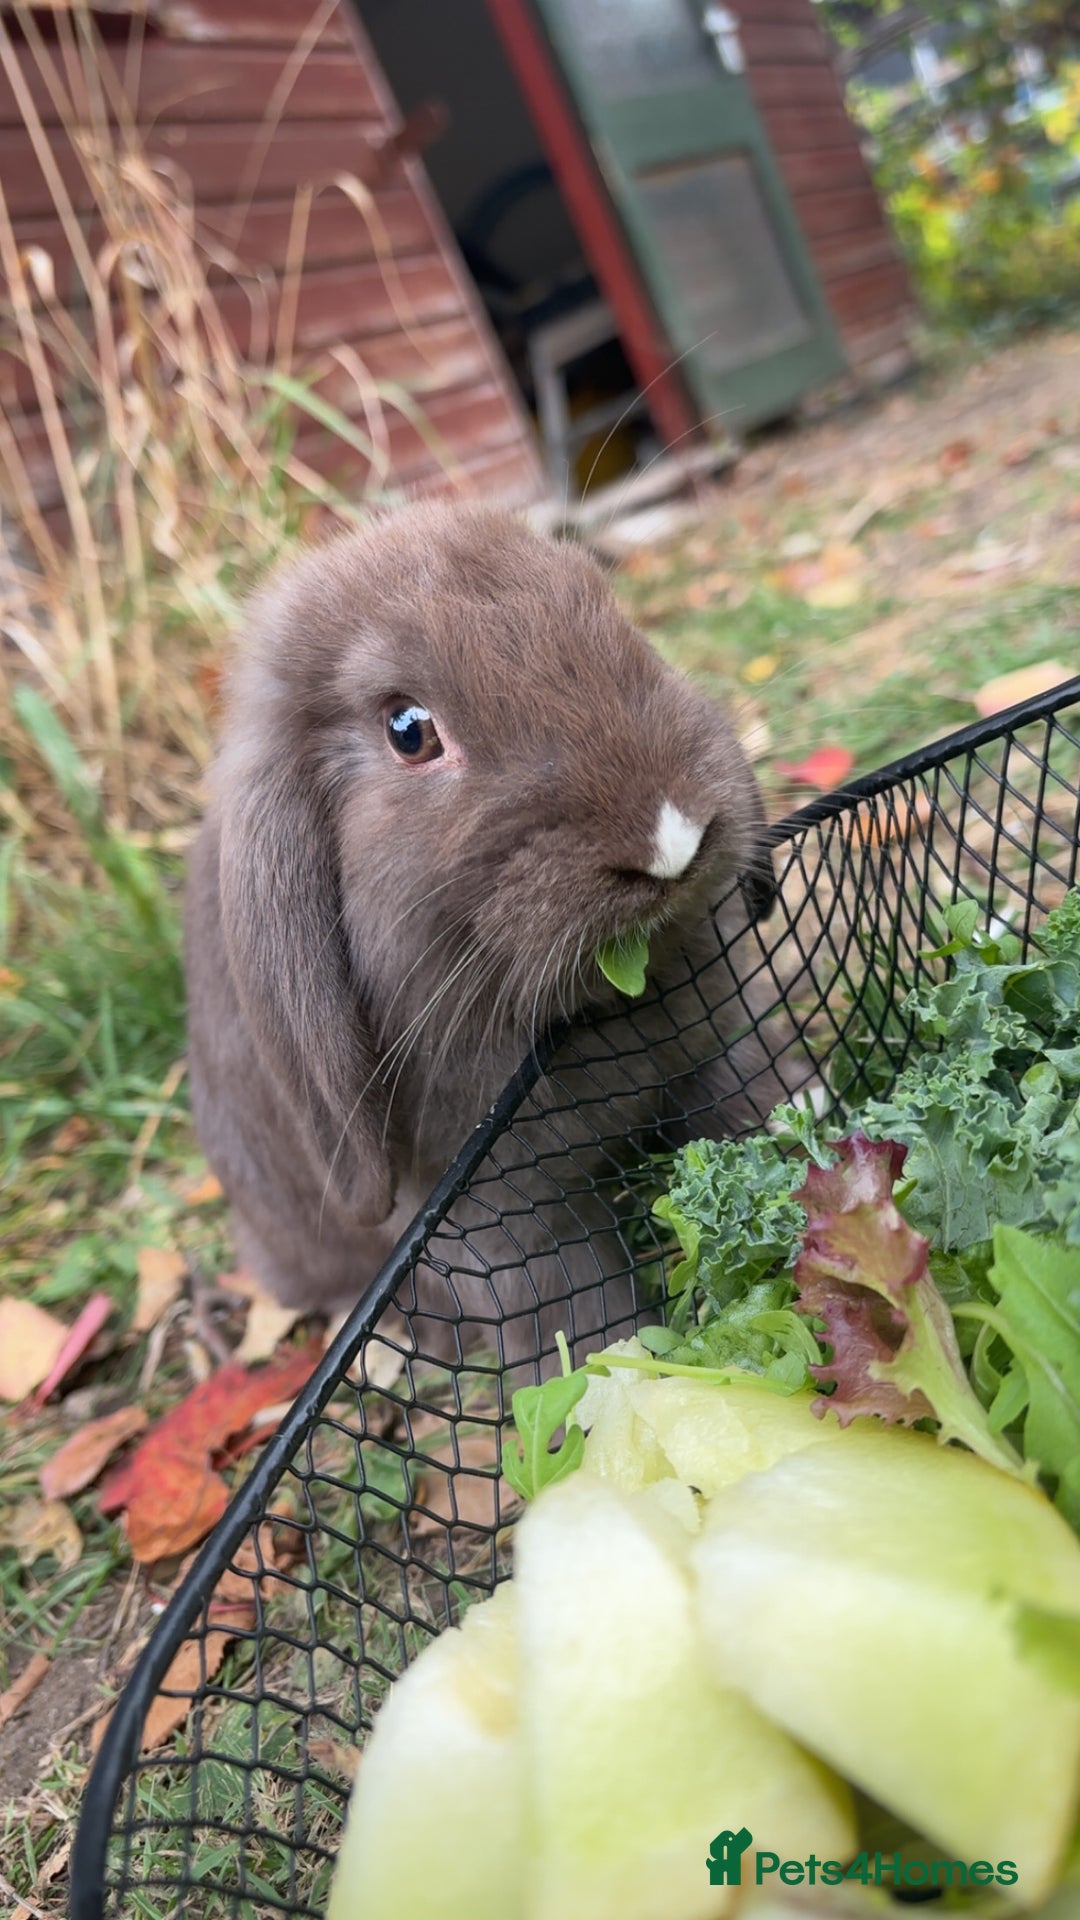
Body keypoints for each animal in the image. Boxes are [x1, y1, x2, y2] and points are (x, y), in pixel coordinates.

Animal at [184, 501, 792, 1373]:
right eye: (409, 731)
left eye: (609, 613)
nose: (671, 836)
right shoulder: (493, 1217)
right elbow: (578, 1309)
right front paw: (599, 1381)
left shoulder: (714, 1055)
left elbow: (752, 1102)